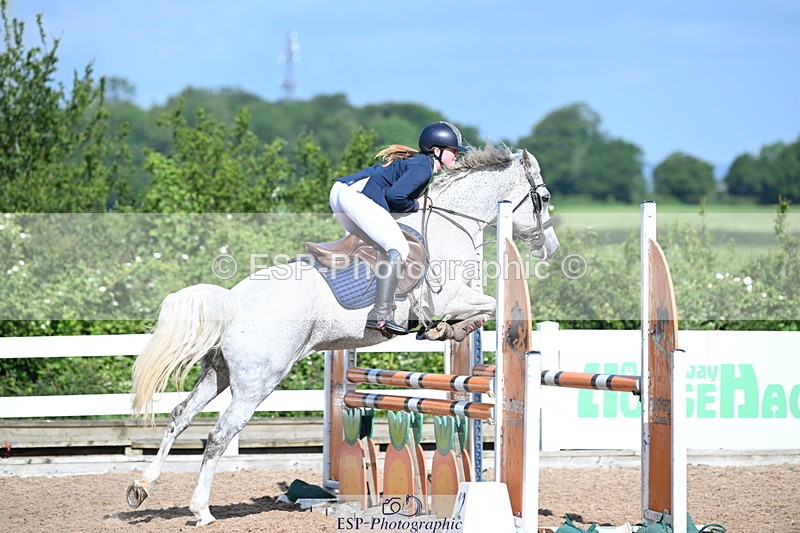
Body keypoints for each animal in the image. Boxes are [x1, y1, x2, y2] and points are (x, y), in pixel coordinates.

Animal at [125, 144, 559, 526]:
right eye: (544, 197)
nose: (551, 248)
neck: (450, 224)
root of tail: (232, 303)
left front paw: (445, 330)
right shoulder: (449, 295)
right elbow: (488, 306)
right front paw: (447, 328)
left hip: (218, 373)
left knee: (180, 416)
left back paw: (141, 486)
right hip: (256, 382)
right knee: (218, 436)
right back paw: (201, 510)